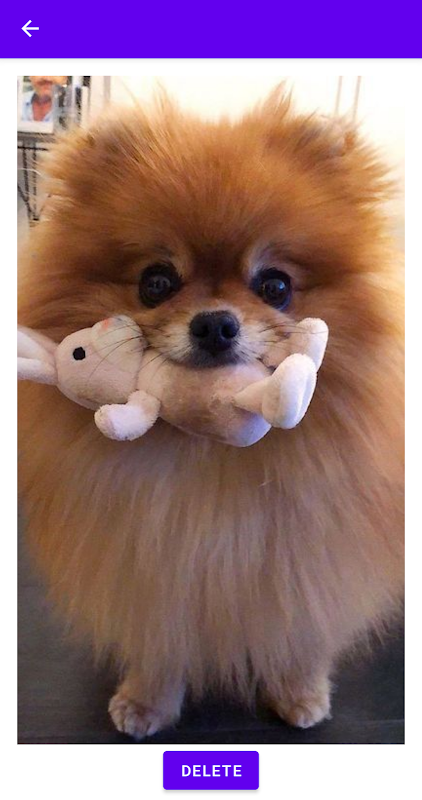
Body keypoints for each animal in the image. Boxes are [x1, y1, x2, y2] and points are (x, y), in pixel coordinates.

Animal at [18, 89, 404, 738]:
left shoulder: (308, 562)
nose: (216, 324)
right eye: (156, 282)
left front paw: (299, 692)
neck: (209, 460)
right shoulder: (151, 566)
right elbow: (160, 638)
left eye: (275, 286)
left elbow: (300, 629)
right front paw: (147, 701)